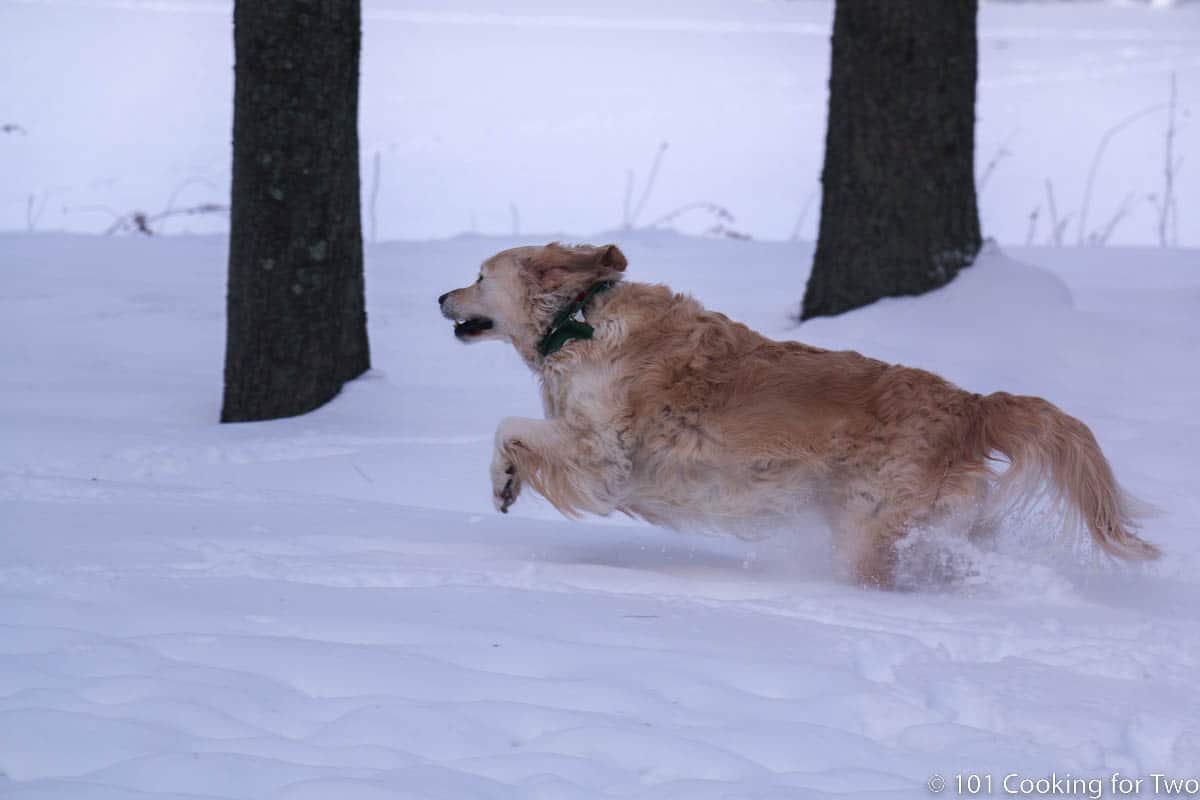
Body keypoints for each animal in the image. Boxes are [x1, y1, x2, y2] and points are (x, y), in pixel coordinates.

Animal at [436, 241, 1156, 585]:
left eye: (479, 275)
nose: (441, 296)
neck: (577, 321)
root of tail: (971, 404)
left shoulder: (604, 456)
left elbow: (510, 427)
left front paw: (504, 481)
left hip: (867, 530)